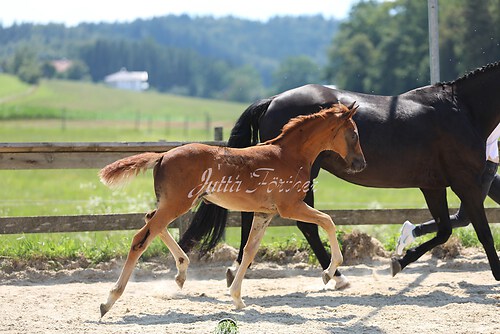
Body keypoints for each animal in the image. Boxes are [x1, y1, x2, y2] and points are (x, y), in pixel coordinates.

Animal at [98, 104, 364, 316]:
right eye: (353, 134)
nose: (361, 164)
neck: (288, 155)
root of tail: (162, 156)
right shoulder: (290, 207)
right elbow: (328, 220)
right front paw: (330, 273)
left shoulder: (265, 213)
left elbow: (249, 251)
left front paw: (237, 299)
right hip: (177, 204)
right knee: (140, 238)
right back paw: (109, 300)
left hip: (171, 204)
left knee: (151, 222)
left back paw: (182, 271)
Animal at [180, 60, 500, 284]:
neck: (463, 110)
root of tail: (271, 101)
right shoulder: (466, 183)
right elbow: (483, 232)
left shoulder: (434, 185)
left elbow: (445, 229)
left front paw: (399, 261)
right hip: (300, 178)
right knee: (306, 225)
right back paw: (336, 276)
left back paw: (236, 269)